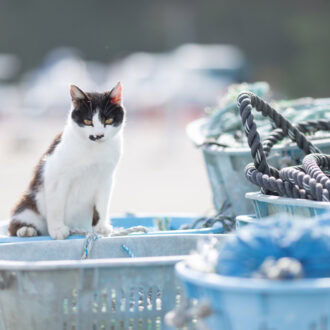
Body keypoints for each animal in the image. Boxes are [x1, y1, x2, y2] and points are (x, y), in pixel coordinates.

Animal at [9, 82, 125, 240]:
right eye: (88, 121)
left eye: (108, 120)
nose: (99, 135)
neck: (94, 149)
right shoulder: (55, 175)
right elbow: (56, 205)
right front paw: (57, 229)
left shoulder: (106, 178)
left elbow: (102, 204)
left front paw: (101, 226)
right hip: (30, 202)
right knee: (17, 223)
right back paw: (26, 230)